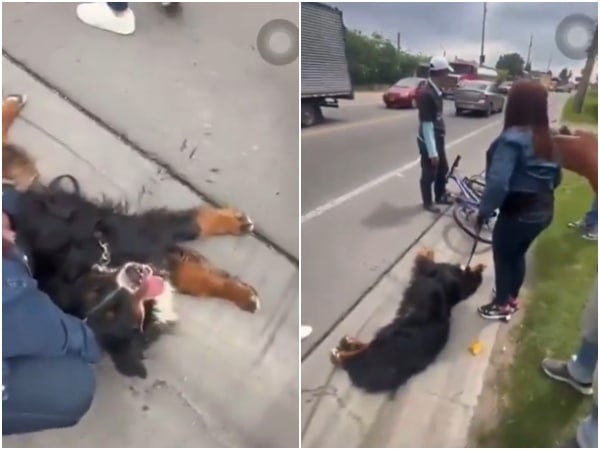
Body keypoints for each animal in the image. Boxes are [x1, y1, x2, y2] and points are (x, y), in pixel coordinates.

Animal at [2, 94, 260, 376]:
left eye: (97, 287)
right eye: (111, 310)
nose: (134, 275)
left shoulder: (143, 235)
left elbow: (195, 227)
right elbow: (194, 276)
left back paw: (12, 102)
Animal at [328, 250, 482, 394]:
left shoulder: (429, 269)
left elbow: (424, 260)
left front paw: (426, 252)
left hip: (388, 332)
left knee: (358, 352)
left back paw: (341, 351)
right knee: (364, 347)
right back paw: (348, 344)